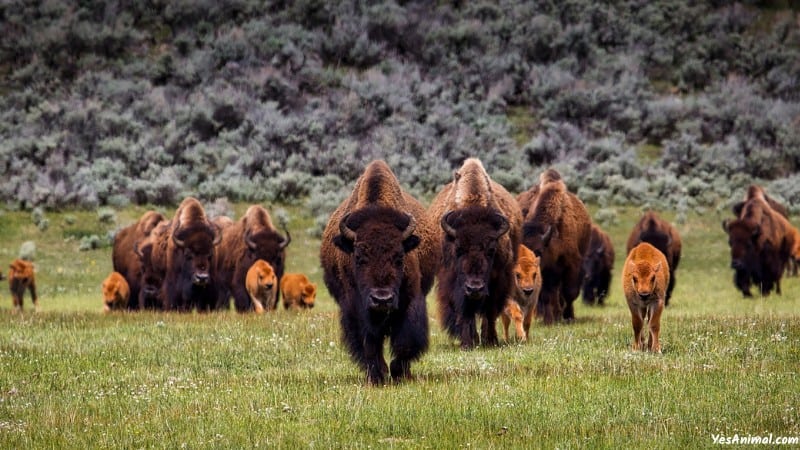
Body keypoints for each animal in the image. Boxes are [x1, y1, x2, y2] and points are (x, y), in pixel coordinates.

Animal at [320, 160, 444, 384]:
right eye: (359, 257)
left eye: (399, 257)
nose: (382, 299)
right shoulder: (356, 308)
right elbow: (369, 343)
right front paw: (378, 375)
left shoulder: (410, 300)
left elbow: (405, 341)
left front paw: (398, 372)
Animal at [428, 157, 520, 348]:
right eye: (458, 249)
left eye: (491, 250)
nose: (475, 288)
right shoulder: (453, 283)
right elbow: (464, 313)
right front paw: (466, 343)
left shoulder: (498, 281)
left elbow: (490, 312)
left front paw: (490, 340)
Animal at [520, 168, 592, 324]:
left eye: (539, 251)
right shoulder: (546, 274)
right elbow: (547, 296)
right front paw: (549, 321)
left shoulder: (572, 265)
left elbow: (570, 293)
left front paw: (568, 317)